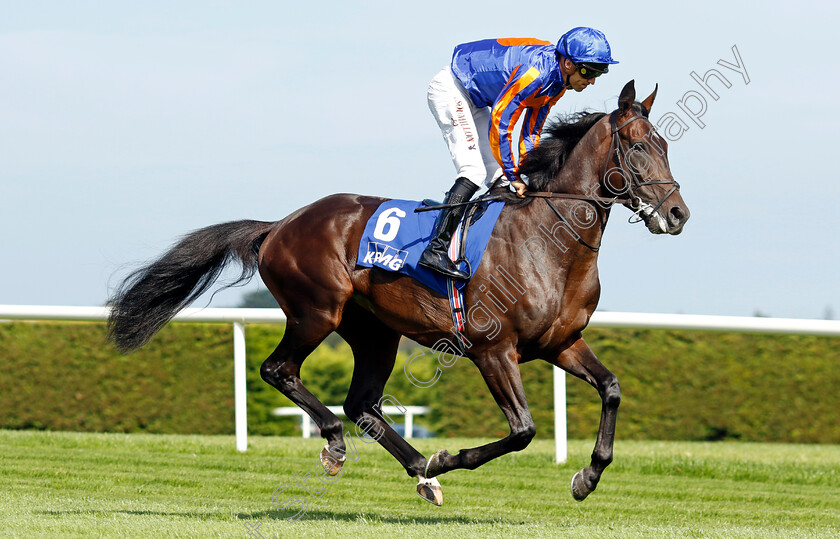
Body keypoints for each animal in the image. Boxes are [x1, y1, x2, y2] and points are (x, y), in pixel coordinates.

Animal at [108, 80, 688, 506]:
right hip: (316, 311)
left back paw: (420, 471)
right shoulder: (492, 350)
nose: (678, 214)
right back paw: (342, 445)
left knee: (362, 403)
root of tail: (279, 225)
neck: (549, 242)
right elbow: (523, 430)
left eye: (664, 145)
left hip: (374, 332)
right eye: (638, 146)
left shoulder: (560, 343)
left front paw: (587, 477)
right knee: (280, 371)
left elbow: (611, 388)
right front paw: (450, 458)